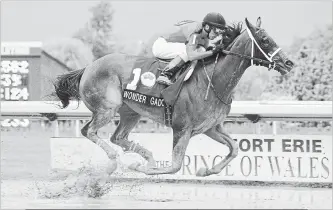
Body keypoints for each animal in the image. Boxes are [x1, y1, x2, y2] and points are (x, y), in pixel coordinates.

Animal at [52, 18, 294, 176]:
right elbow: (175, 166)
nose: (289, 62)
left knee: (117, 137)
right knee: (89, 131)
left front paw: (206, 170)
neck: (213, 80)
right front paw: (141, 168)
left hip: (131, 112)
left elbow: (234, 149)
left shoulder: (211, 128)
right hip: (106, 108)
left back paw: (146, 157)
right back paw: (115, 162)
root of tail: (88, 67)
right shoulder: (181, 128)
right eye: (265, 39)